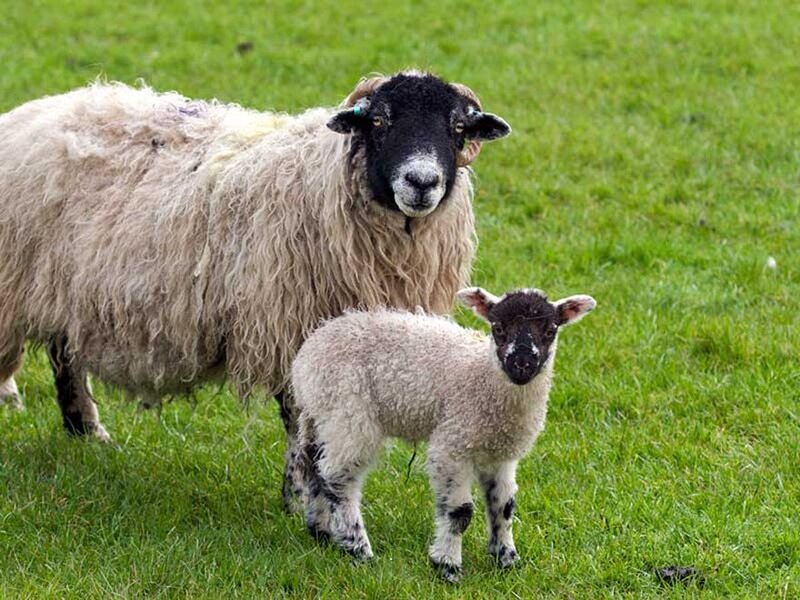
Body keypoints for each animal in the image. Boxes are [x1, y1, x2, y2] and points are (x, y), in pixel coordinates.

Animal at [0, 71, 511, 509]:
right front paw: (301, 498)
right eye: (380, 121)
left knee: (64, 354)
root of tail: (34, 112)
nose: (421, 182)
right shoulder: (292, 327)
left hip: (64, 289)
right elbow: (299, 420)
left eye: (458, 127)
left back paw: (86, 431)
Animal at [291, 287, 596, 581]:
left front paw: (506, 560)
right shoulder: (452, 443)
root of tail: (306, 355)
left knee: (313, 465)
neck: (484, 379)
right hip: (349, 415)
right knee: (338, 478)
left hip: (322, 417)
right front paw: (447, 566)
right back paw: (358, 548)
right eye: (498, 328)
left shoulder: (500, 455)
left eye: (550, 330)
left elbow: (504, 506)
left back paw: (321, 530)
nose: (521, 364)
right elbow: (460, 512)